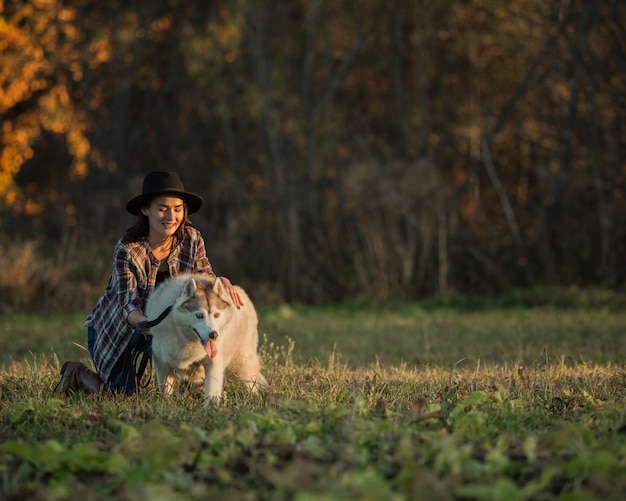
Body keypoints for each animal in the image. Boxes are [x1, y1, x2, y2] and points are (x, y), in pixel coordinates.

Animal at [146, 272, 266, 404]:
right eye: (199, 315)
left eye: (217, 315)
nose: (214, 335)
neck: (187, 340)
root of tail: (242, 292)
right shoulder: (162, 361)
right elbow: (165, 389)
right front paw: (165, 402)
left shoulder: (214, 362)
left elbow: (212, 389)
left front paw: (210, 407)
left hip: (241, 364)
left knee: (251, 381)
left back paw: (254, 399)